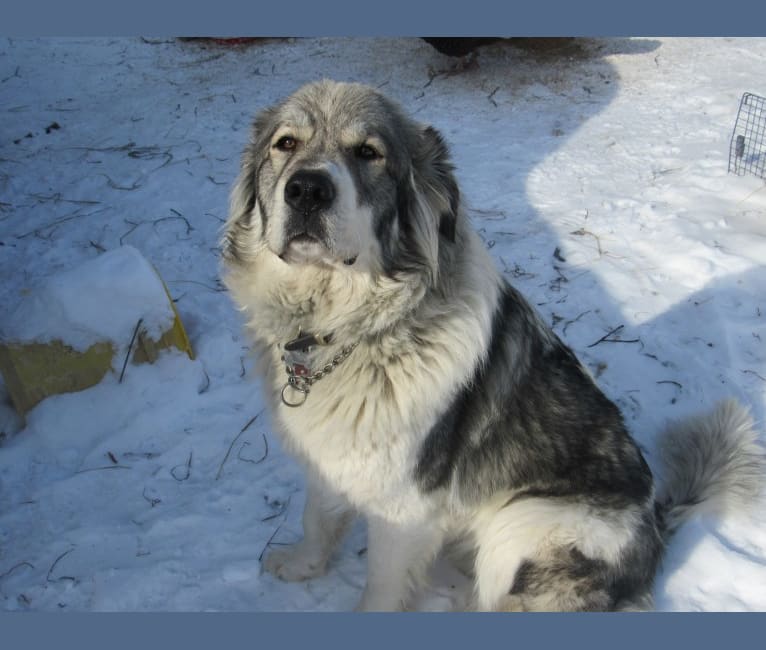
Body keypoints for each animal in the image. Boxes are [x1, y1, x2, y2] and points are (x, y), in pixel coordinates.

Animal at [219, 79, 764, 608]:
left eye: (368, 152)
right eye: (286, 144)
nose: (307, 189)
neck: (348, 332)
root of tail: (655, 528)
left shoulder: (404, 510)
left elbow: (380, 590)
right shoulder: (330, 459)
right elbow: (319, 518)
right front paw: (301, 566)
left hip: (522, 521)